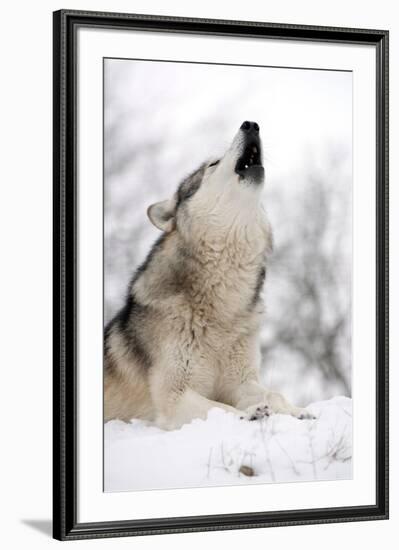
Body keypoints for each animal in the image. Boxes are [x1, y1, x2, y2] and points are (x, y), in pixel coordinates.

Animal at [104, 121, 314, 432]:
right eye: (213, 164)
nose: (250, 124)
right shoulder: (174, 396)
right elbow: (220, 407)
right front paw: (250, 414)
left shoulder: (241, 381)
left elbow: (273, 394)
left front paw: (297, 412)